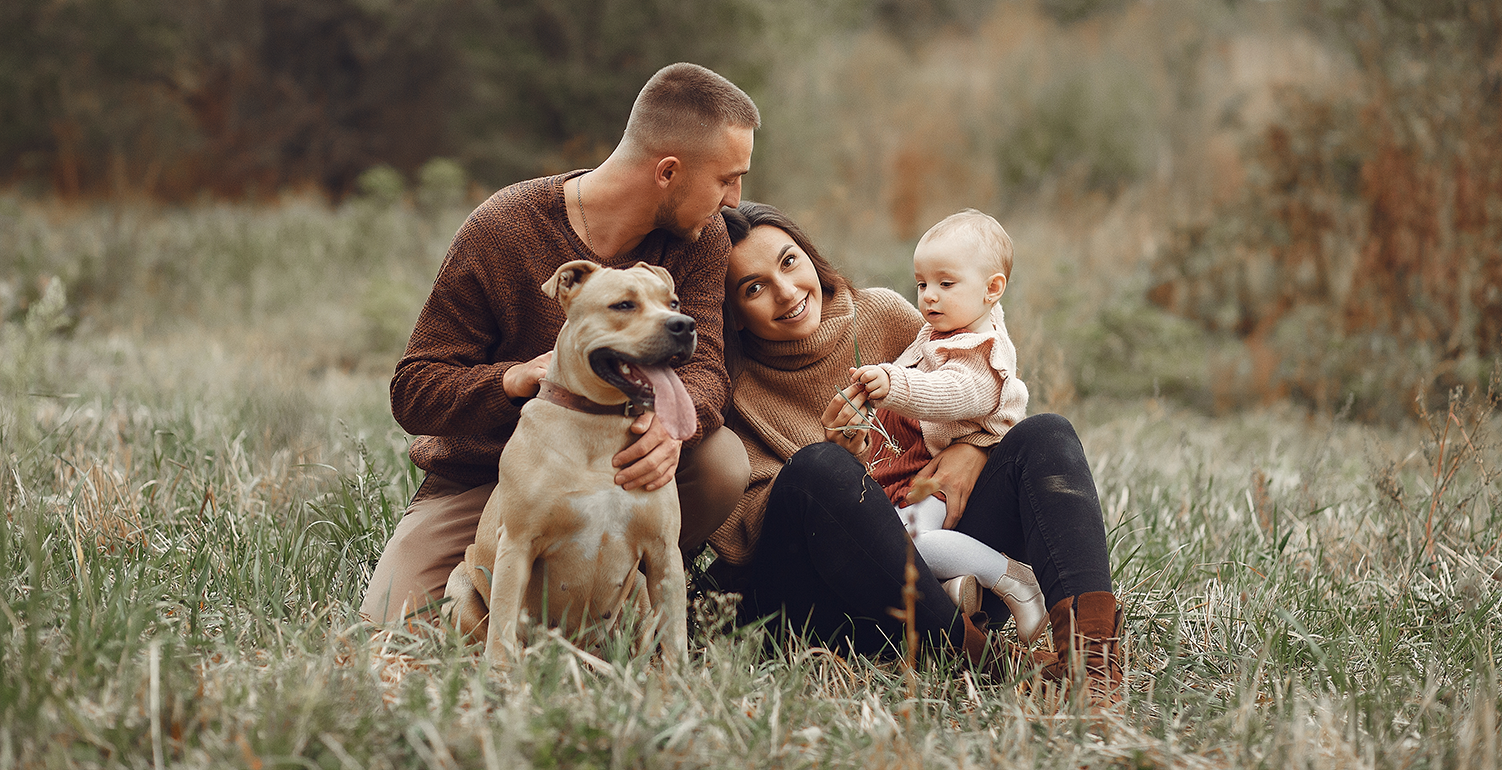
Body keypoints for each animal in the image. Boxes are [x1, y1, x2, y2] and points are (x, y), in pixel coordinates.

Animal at [441, 259, 699, 666]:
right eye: (623, 305)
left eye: (672, 302)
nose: (685, 324)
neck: (599, 424)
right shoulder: (517, 544)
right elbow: (502, 619)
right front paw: (499, 672)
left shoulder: (663, 553)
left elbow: (674, 634)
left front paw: (678, 678)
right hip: (459, 585)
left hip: (641, 586)